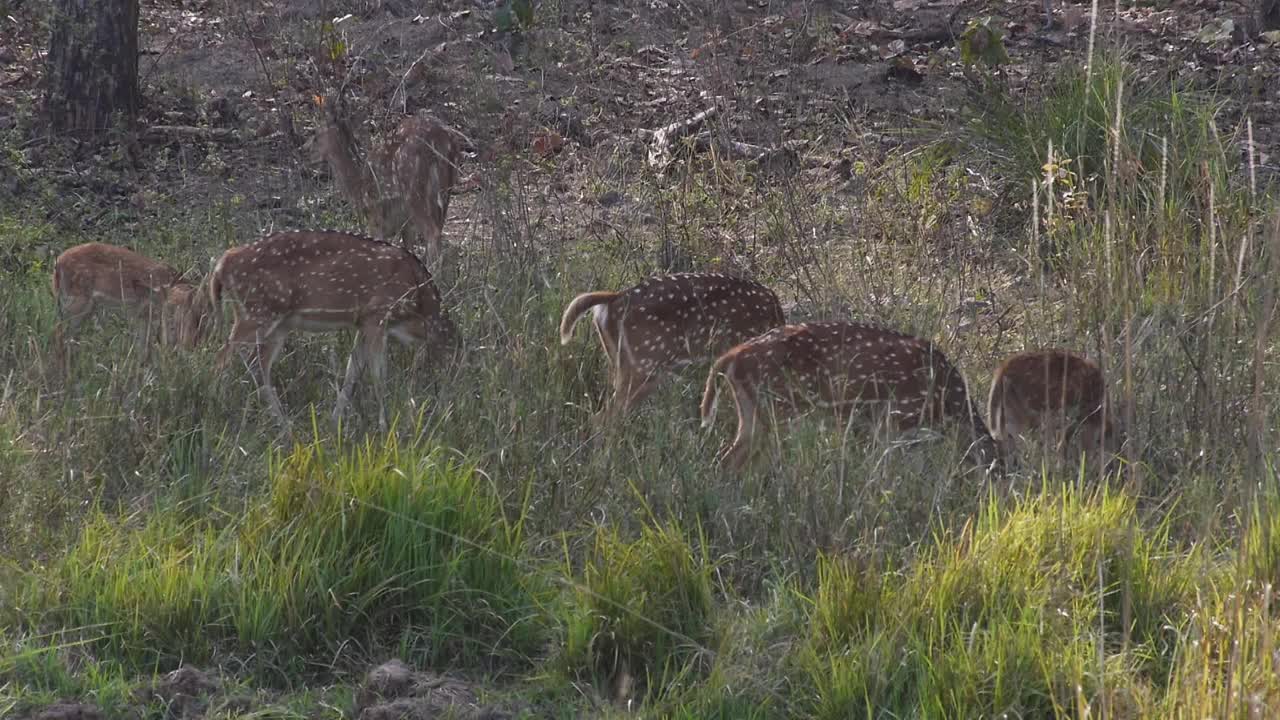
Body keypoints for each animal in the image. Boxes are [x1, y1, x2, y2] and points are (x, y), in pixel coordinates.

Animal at [212, 230, 463, 430]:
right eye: (452, 370)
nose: (449, 413)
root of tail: (222, 263)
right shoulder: (377, 314)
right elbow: (379, 376)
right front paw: (385, 427)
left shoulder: (362, 323)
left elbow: (352, 374)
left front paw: (334, 426)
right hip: (257, 312)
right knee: (222, 358)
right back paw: (220, 411)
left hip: (277, 323)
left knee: (257, 365)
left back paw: (284, 427)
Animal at [307, 98, 463, 269]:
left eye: (315, 134)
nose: (306, 152)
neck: (358, 188)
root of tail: (443, 138)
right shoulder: (405, 225)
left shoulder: (375, 218)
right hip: (445, 190)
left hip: (414, 190)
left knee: (432, 234)